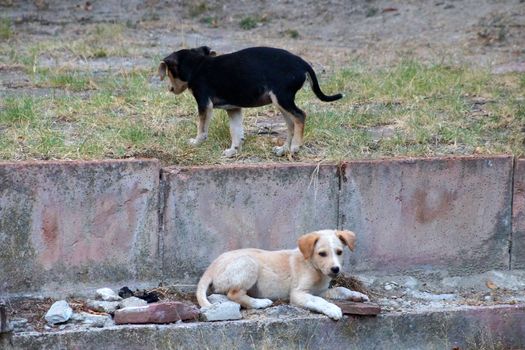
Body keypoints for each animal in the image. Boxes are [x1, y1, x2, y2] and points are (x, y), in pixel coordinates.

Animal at [158, 46, 342, 157]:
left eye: (168, 73)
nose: (169, 89)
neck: (197, 65)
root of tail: (303, 63)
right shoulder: (233, 109)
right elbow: (236, 132)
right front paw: (233, 151)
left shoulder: (204, 104)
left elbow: (202, 129)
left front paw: (196, 142)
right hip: (281, 103)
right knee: (291, 124)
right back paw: (283, 149)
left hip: (282, 98)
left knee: (300, 116)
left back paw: (296, 146)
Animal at [195, 230, 368, 320]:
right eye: (322, 254)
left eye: (339, 252)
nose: (335, 269)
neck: (314, 268)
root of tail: (212, 265)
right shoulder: (298, 294)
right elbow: (318, 301)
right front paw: (332, 309)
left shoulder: (321, 291)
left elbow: (341, 290)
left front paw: (358, 296)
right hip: (249, 262)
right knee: (234, 294)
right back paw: (260, 303)